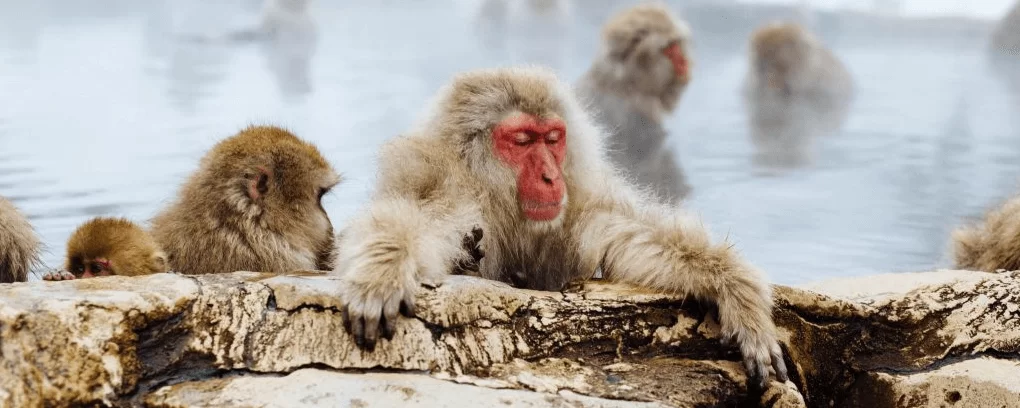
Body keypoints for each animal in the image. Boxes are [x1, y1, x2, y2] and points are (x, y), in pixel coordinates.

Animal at [333, 67, 789, 388]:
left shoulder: (578, 201)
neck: (497, 198)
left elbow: (630, 238)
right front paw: (383, 271)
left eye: (552, 138)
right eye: (521, 140)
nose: (551, 177)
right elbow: (413, 221)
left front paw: (735, 290)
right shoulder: (445, 185)